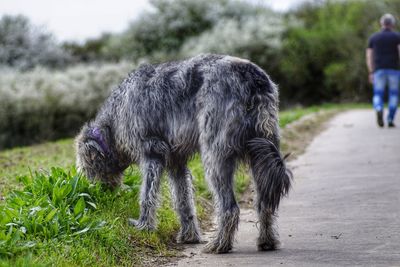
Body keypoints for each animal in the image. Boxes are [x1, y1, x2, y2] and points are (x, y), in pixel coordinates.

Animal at [76, 54, 292, 253]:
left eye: (85, 169)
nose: (98, 192)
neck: (113, 124)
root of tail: (253, 80)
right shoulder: (176, 161)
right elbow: (183, 199)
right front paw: (189, 236)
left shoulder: (152, 152)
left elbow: (147, 195)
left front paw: (143, 226)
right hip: (263, 148)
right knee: (264, 203)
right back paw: (267, 241)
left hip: (215, 154)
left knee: (229, 208)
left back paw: (220, 244)